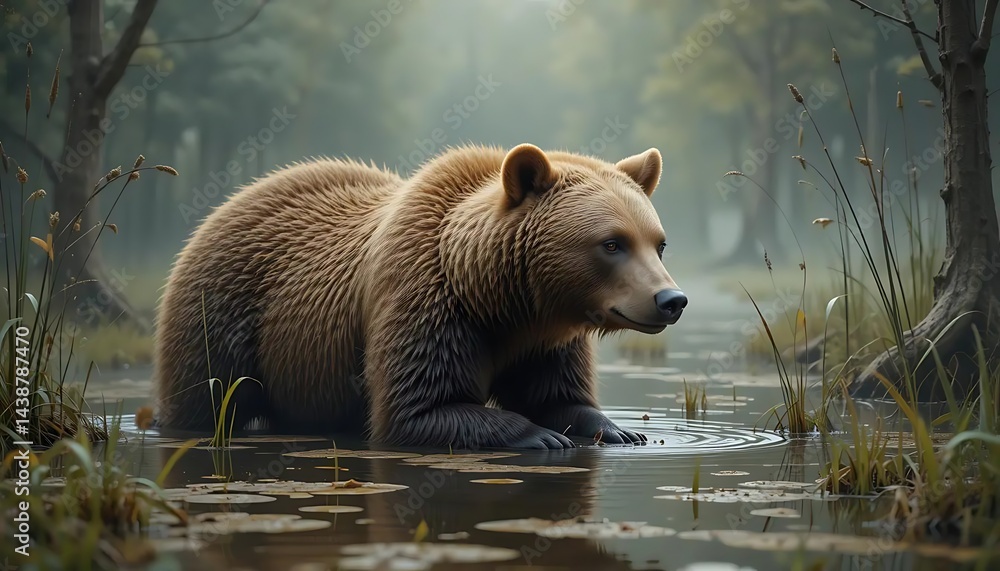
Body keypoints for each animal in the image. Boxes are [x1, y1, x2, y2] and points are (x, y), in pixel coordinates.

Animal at [153, 143, 687, 449]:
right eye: (612, 243)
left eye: (658, 241)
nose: (671, 299)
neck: (499, 300)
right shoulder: (426, 299)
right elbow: (420, 408)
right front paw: (542, 436)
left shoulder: (544, 337)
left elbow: (557, 392)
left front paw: (622, 428)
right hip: (222, 314)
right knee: (207, 395)